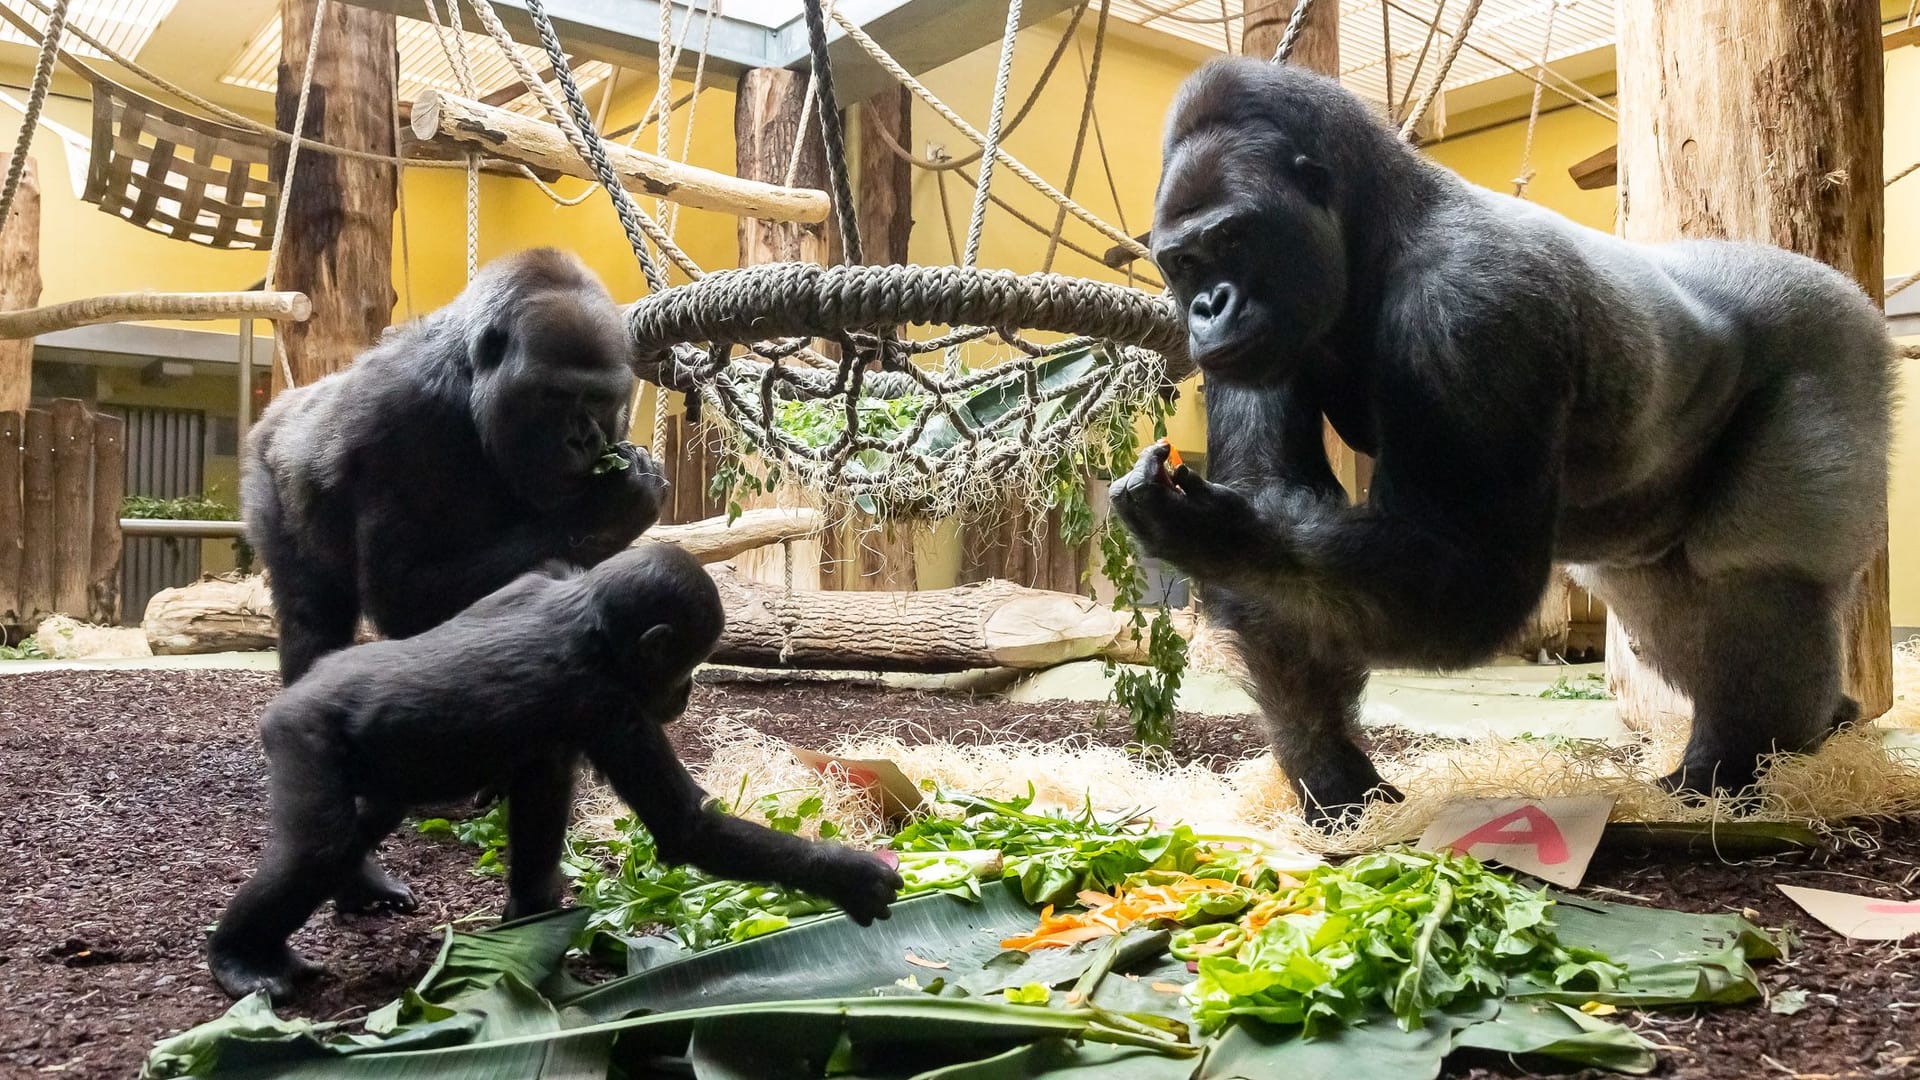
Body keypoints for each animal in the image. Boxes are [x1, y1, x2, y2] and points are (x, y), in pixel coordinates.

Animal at [210, 541, 906, 999]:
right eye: (683, 666)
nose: (684, 695)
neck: (589, 622)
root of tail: (290, 698)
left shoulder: (533, 583)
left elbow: (542, 780)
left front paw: (533, 913)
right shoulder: (612, 705)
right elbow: (687, 829)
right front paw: (850, 876)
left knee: (368, 817)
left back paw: (360, 887)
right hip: (303, 737)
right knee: (315, 848)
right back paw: (239, 956)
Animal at [1121, 58, 1896, 822]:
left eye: (1232, 241)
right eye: (1182, 262)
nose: (1207, 307)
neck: (1381, 229)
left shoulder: (1471, 308)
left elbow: (1474, 579)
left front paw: (1218, 532)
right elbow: (1276, 553)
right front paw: (1332, 775)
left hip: (1834, 339)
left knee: (1755, 573)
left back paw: (1732, 765)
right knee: (1662, 606)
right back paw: (1810, 724)